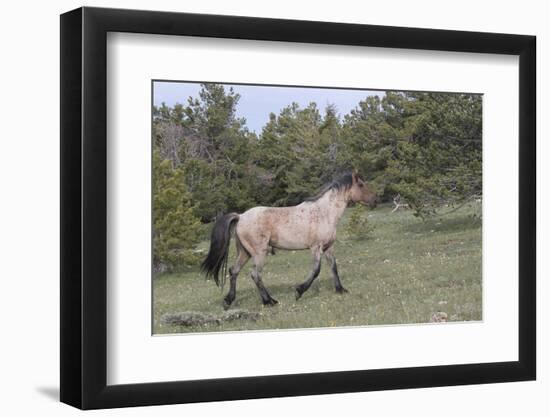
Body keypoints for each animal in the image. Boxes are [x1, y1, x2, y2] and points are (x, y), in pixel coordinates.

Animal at [202, 170, 380, 308]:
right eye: (361, 185)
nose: (375, 200)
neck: (324, 212)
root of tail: (240, 216)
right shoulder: (316, 247)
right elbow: (316, 270)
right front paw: (299, 291)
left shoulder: (329, 247)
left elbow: (334, 267)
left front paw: (340, 290)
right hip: (259, 252)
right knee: (255, 274)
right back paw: (269, 301)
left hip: (245, 252)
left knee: (234, 271)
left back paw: (229, 300)